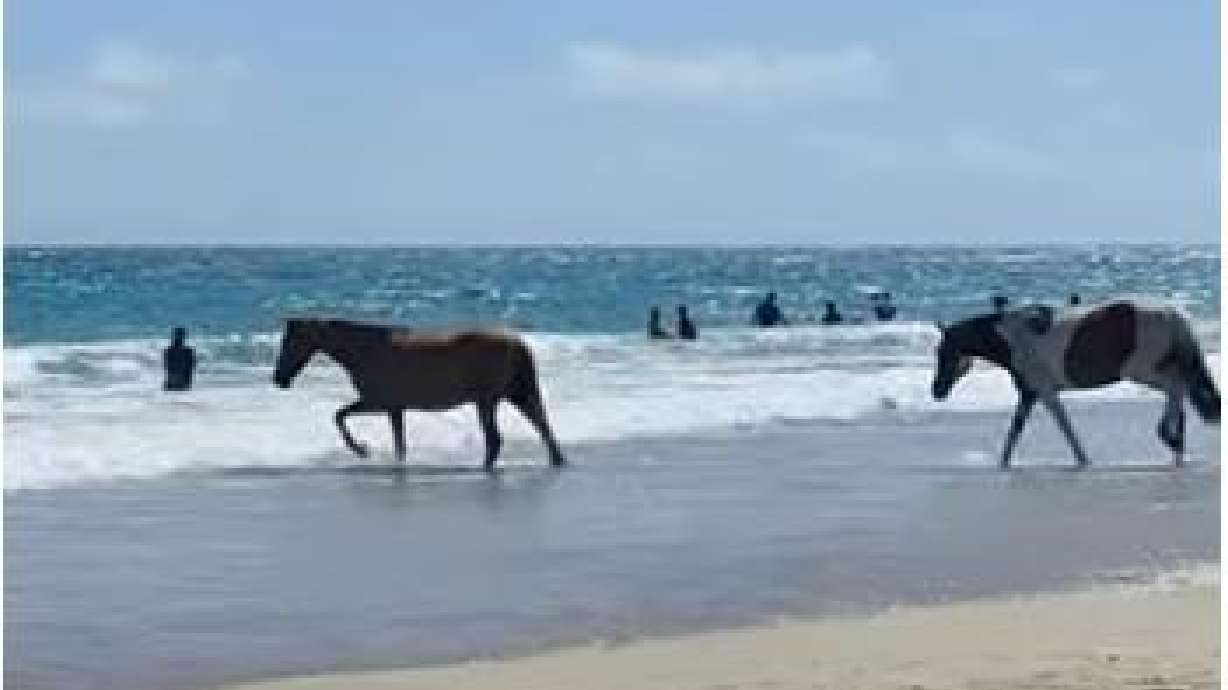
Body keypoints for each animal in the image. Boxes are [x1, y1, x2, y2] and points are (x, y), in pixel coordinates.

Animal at [273, 318, 566, 470]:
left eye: (290, 342)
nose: (279, 379)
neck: (366, 351)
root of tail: (518, 342)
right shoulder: (394, 408)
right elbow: (399, 444)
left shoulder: (378, 403)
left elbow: (338, 416)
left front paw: (361, 450)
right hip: (517, 395)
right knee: (543, 426)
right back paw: (556, 461)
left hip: (486, 401)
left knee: (495, 438)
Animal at [931, 301, 1219, 468]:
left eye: (943, 351)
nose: (937, 390)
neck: (1013, 338)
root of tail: (1171, 313)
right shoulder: (1029, 394)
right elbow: (1015, 433)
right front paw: (1003, 463)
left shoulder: (1044, 392)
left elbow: (1063, 426)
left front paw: (1083, 460)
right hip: (1154, 370)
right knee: (1180, 392)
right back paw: (1177, 445)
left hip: (1142, 371)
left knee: (1176, 388)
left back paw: (1168, 436)